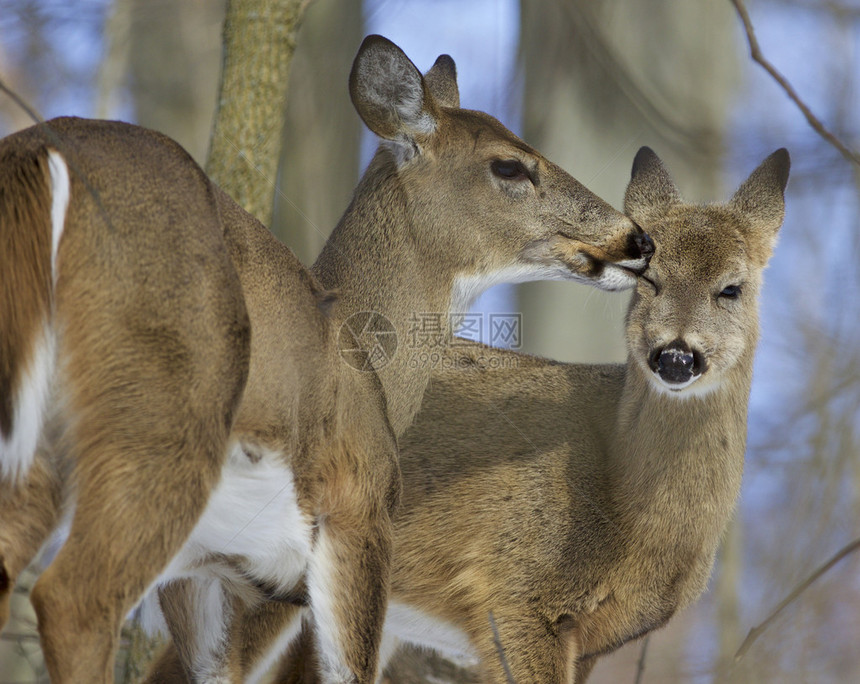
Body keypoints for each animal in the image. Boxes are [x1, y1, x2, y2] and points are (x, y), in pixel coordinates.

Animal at [0, 36, 648, 684]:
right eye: (509, 166)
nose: (637, 239)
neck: (374, 373)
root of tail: (42, 156)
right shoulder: (357, 512)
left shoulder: (202, 570)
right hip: (162, 419)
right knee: (72, 599)